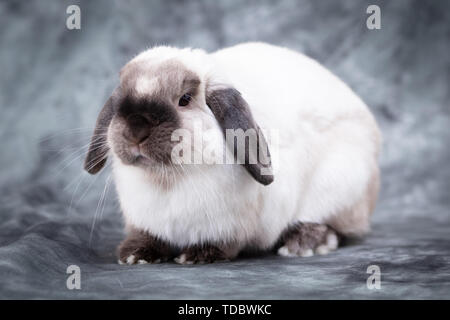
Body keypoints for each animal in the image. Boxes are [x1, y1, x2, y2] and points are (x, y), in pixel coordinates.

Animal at [83, 41, 380, 264]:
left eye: (184, 100)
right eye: (122, 100)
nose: (136, 130)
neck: (167, 179)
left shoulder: (229, 225)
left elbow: (225, 243)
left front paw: (197, 256)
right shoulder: (146, 221)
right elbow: (147, 237)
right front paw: (134, 254)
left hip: (336, 190)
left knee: (331, 226)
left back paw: (303, 244)